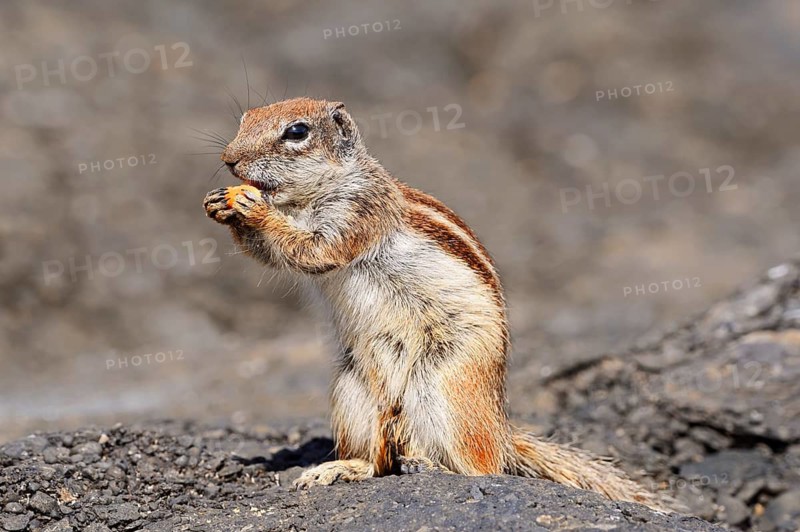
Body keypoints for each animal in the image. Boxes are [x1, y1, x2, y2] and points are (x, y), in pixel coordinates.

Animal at [203, 97, 675, 512]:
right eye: (245, 117)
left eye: (297, 132)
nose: (229, 159)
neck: (306, 197)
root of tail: (501, 429)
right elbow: (275, 255)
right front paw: (221, 206)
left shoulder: (357, 215)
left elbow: (312, 250)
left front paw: (252, 208)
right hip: (353, 390)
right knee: (379, 462)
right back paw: (340, 469)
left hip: (447, 384)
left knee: (484, 467)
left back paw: (434, 466)